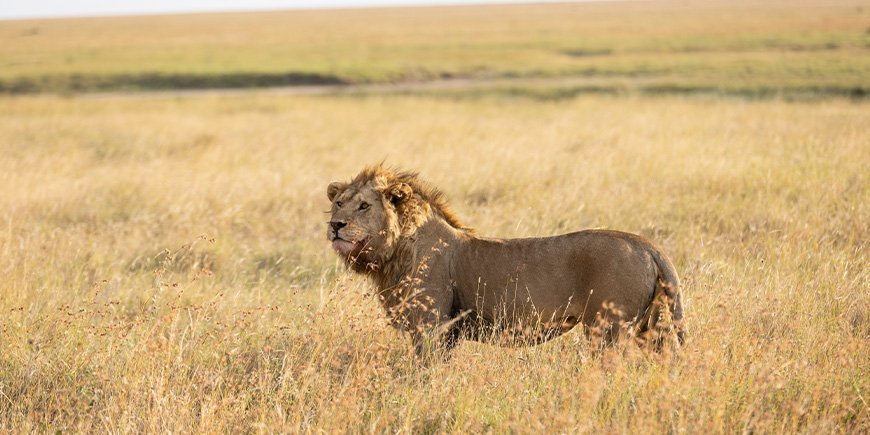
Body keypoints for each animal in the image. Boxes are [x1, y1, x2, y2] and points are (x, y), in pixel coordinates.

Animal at [326, 165, 685, 358]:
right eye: (339, 203)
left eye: (364, 206)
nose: (335, 225)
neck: (394, 254)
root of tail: (647, 245)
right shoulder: (447, 333)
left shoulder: (431, 327)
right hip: (648, 328)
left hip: (609, 330)